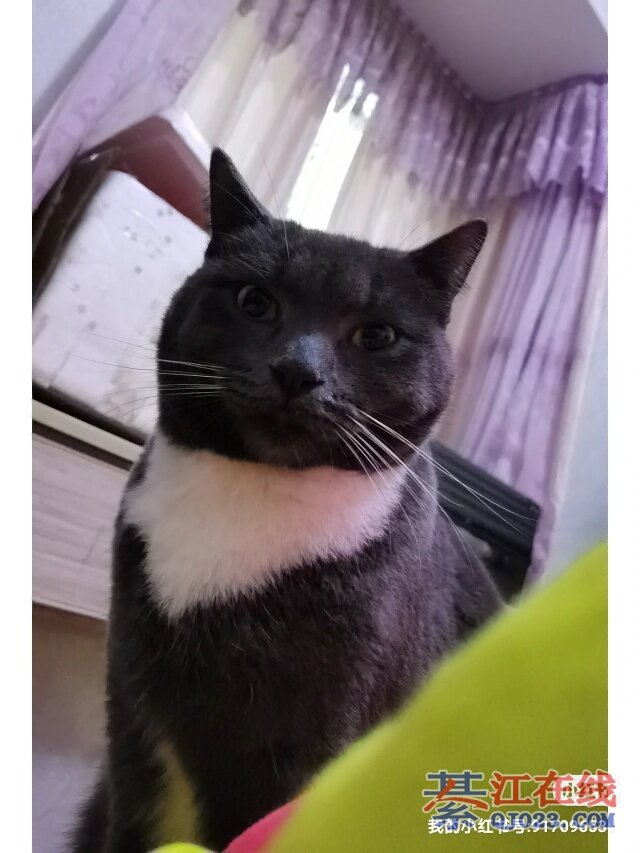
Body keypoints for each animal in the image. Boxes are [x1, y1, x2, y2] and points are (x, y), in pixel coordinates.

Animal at [72, 148, 502, 852]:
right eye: (255, 301)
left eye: (376, 336)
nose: (297, 371)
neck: (251, 494)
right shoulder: (133, 715)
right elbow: (136, 818)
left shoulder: (313, 741)